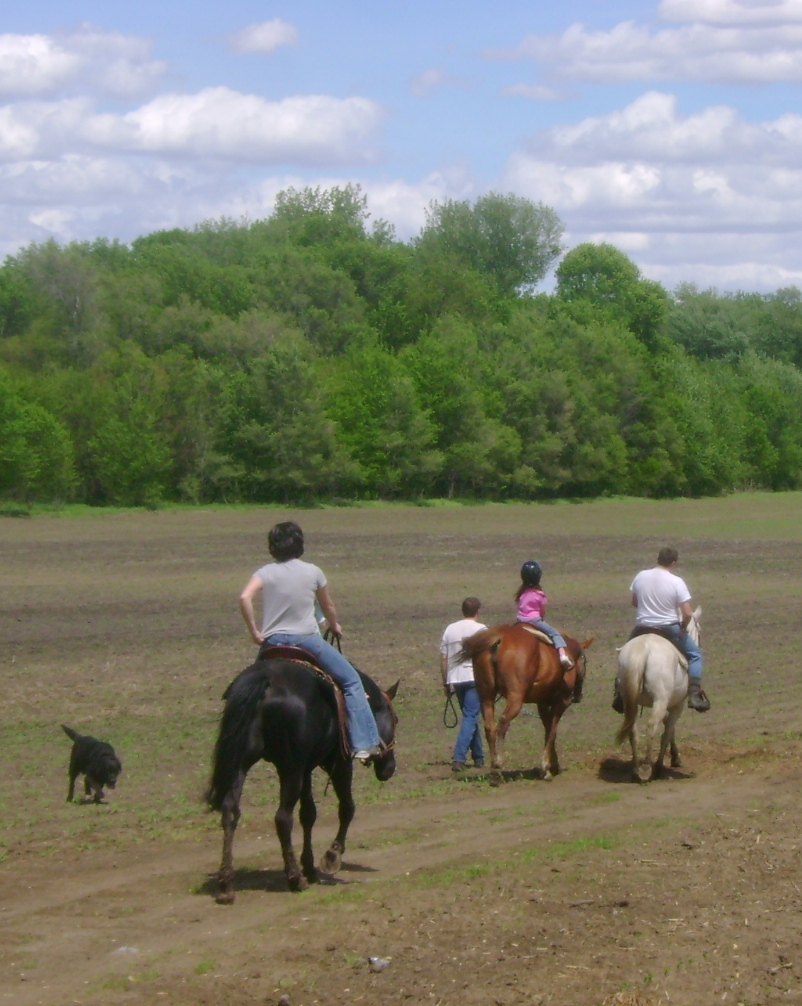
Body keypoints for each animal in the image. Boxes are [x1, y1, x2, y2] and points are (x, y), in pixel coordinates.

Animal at [205, 655, 396, 901]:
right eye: (395, 719)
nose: (389, 769)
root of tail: (266, 680)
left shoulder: (306, 768)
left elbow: (308, 814)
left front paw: (310, 866)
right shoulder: (339, 763)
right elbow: (347, 808)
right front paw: (331, 857)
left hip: (242, 764)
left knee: (230, 812)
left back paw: (226, 884)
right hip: (291, 769)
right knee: (282, 818)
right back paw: (295, 878)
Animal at [460, 623, 591, 780]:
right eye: (584, 661)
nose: (578, 696)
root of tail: (499, 638)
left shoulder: (542, 703)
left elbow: (548, 729)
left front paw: (551, 766)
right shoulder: (561, 701)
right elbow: (552, 731)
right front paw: (546, 767)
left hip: (486, 696)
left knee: (490, 727)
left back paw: (493, 769)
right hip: (515, 697)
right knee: (503, 722)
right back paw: (498, 765)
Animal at [615, 603, 696, 784]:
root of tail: (644, 649)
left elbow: (668, 728)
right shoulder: (677, 705)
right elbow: (667, 730)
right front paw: (666, 762)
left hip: (630, 700)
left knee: (632, 728)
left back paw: (635, 769)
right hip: (660, 699)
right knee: (652, 726)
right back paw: (649, 767)